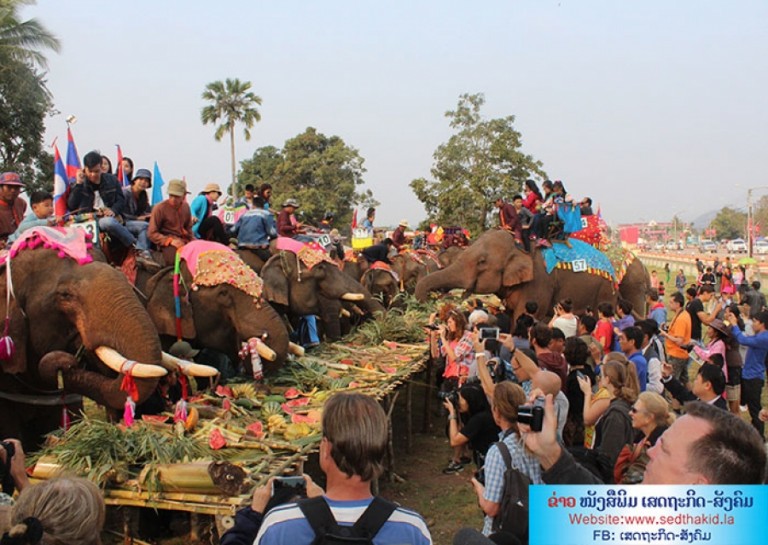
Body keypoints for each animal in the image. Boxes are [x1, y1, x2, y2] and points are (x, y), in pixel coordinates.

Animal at [414, 228, 648, 320]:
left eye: (482, 262)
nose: (435, 304)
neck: (520, 246)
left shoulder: (539, 282)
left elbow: (526, 315)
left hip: (610, 290)